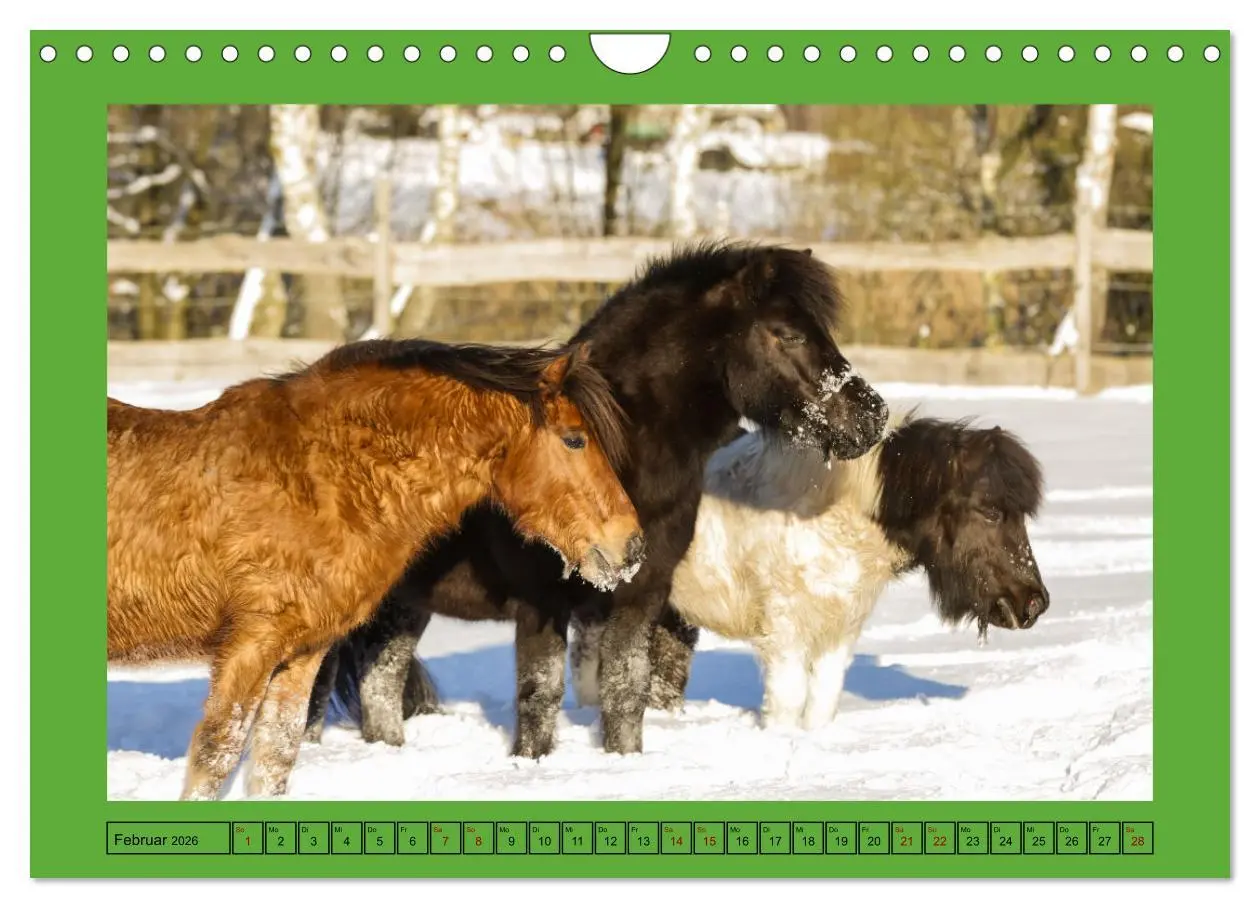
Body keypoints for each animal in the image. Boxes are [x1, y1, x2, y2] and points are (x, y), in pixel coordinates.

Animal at [107, 339, 644, 800]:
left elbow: (276, 757)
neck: (318, 478)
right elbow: (215, 758)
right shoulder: (249, 646)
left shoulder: (301, 653)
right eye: (574, 440)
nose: (633, 546)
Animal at [305, 240, 890, 757]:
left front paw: (622, 760)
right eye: (787, 334)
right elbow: (540, 695)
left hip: (401, 603)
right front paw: (531, 764)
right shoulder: (541, 601)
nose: (872, 417)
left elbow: (627, 689)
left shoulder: (643, 593)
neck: (623, 451)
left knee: (380, 683)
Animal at [569, 411, 1050, 729]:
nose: (1035, 604)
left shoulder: (840, 630)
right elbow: (787, 702)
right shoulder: (785, 633)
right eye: (990, 511)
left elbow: (822, 702)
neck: (836, 515)